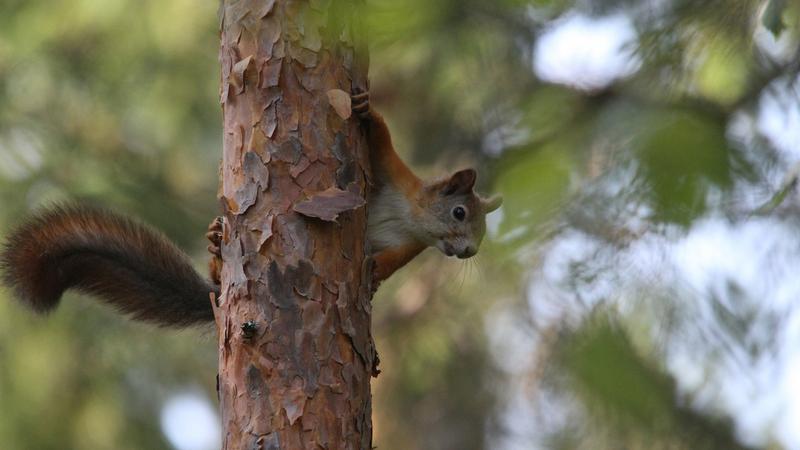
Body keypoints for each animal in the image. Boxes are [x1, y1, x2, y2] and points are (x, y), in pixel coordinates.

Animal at [0, 89, 500, 326]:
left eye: (479, 239)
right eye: (459, 214)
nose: (466, 253)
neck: (414, 217)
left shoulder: (411, 247)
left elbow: (391, 263)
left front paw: (375, 273)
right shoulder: (396, 176)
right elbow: (379, 139)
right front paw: (364, 108)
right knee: (218, 267)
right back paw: (215, 242)